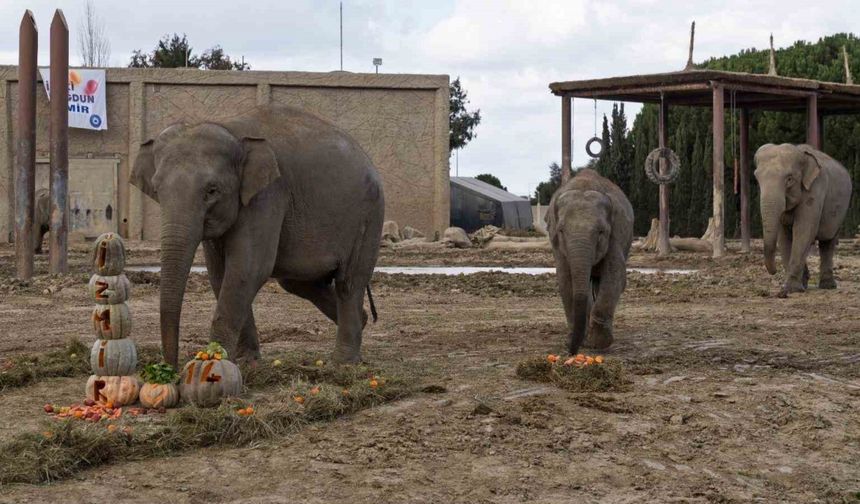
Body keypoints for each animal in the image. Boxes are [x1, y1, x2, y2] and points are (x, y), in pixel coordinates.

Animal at [129, 106, 384, 366]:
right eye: (157, 189)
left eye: (212, 191)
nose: (169, 369)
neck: (230, 129)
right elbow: (220, 274)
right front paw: (245, 361)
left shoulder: (268, 195)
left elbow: (246, 269)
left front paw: (214, 362)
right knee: (298, 282)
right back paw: (363, 321)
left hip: (369, 216)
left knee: (349, 283)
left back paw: (343, 361)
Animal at [548, 169, 636, 354]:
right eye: (561, 230)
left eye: (601, 231)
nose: (571, 352)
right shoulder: (557, 245)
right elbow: (564, 279)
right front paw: (577, 340)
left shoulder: (616, 234)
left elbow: (615, 274)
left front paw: (598, 343)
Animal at [756, 144, 848, 298]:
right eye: (757, 178)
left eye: (789, 179)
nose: (774, 272)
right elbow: (784, 237)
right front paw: (795, 287)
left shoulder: (815, 190)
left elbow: (804, 230)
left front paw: (790, 289)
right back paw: (806, 283)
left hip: (840, 212)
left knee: (828, 242)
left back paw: (828, 286)